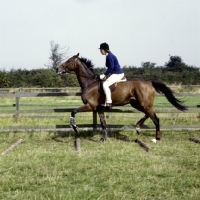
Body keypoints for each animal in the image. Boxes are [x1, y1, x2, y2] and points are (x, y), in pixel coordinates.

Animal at [56, 53, 188, 142]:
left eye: (68, 61)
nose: (57, 69)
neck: (89, 82)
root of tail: (149, 82)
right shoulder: (99, 108)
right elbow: (103, 124)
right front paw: (103, 139)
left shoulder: (90, 106)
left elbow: (73, 111)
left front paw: (74, 127)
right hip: (137, 104)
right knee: (148, 114)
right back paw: (138, 127)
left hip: (144, 104)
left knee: (155, 119)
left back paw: (156, 138)